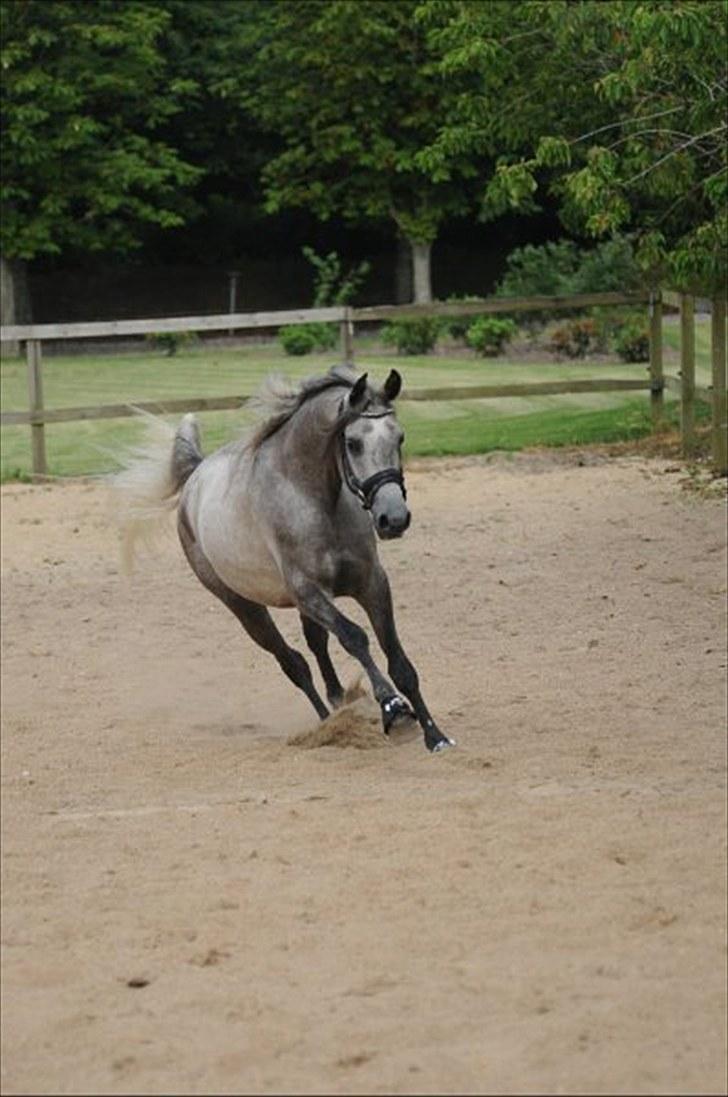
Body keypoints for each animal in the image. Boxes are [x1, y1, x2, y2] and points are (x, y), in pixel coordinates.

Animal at [114, 368, 456, 754]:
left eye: (400, 437)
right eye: (353, 443)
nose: (393, 519)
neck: (314, 497)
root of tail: (194, 478)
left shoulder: (371, 584)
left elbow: (398, 659)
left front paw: (434, 735)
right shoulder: (308, 592)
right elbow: (355, 638)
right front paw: (393, 708)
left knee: (316, 646)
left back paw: (340, 701)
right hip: (244, 607)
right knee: (293, 662)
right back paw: (326, 722)